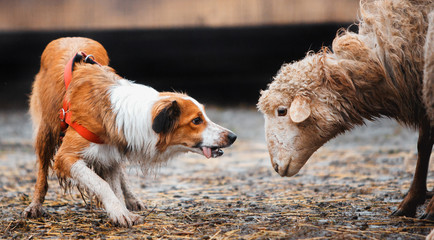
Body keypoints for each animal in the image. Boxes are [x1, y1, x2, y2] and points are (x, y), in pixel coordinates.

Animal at [22, 37, 236, 227]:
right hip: (46, 131)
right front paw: (119, 213)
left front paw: (122, 210)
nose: (233, 136)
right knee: (42, 173)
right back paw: (35, 206)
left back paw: (132, 200)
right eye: (196, 120)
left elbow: (114, 185)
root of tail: (67, 37)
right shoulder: (66, 156)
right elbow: (101, 184)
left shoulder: (111, 154)